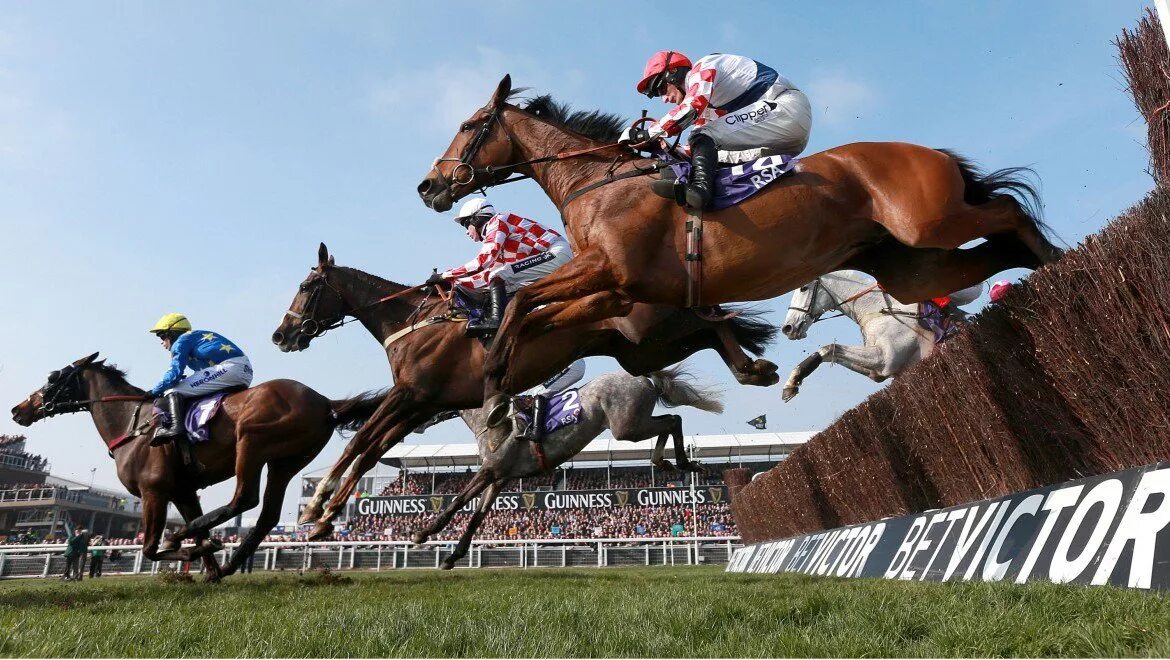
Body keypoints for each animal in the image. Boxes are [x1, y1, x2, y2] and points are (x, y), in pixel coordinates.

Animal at [10, 353, 383, 580]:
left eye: (53, 376)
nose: (18, 409)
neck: (134, 425)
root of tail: (325, 402)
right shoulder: (184, 491)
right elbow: (199, 527)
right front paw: (210, 565)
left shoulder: (154, 491)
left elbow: (151, 548)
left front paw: (187, 544)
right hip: (285, 462)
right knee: (266, 515)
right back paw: (230, 564)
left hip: (252, 441)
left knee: (244, 499)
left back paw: (184, 538)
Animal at [269, 244, 772, 538]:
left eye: (307, 286)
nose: (281, 335)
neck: (413, 323)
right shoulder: (424, 404)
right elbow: (371, 447)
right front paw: (325, 514)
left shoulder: (410, 395)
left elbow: (359, 441)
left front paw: (317, 507)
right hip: (642, 350)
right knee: (707, 328)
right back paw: (744, 373)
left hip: (653, 331)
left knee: (711, 318)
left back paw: (754, 368)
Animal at [411, 365, 720, 566]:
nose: (415, 425)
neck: (493, 421)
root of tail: (643, 377)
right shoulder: (500, 478)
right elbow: (477, 516)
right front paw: (452, 556)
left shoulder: (490, 471)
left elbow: (457, 500)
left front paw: (423, 533)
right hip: (636, 421)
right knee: (671, 419)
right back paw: (667, 461)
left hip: (627, 426)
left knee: (673, 420)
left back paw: (678, 462)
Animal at [781, 269, 982, 402]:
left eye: (804, 288)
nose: (787, 328)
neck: (876, 309)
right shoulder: (876, 371)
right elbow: (831, 351)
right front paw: (792, 382)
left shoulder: (885, 359)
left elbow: (828, 348)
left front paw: (791, 382)